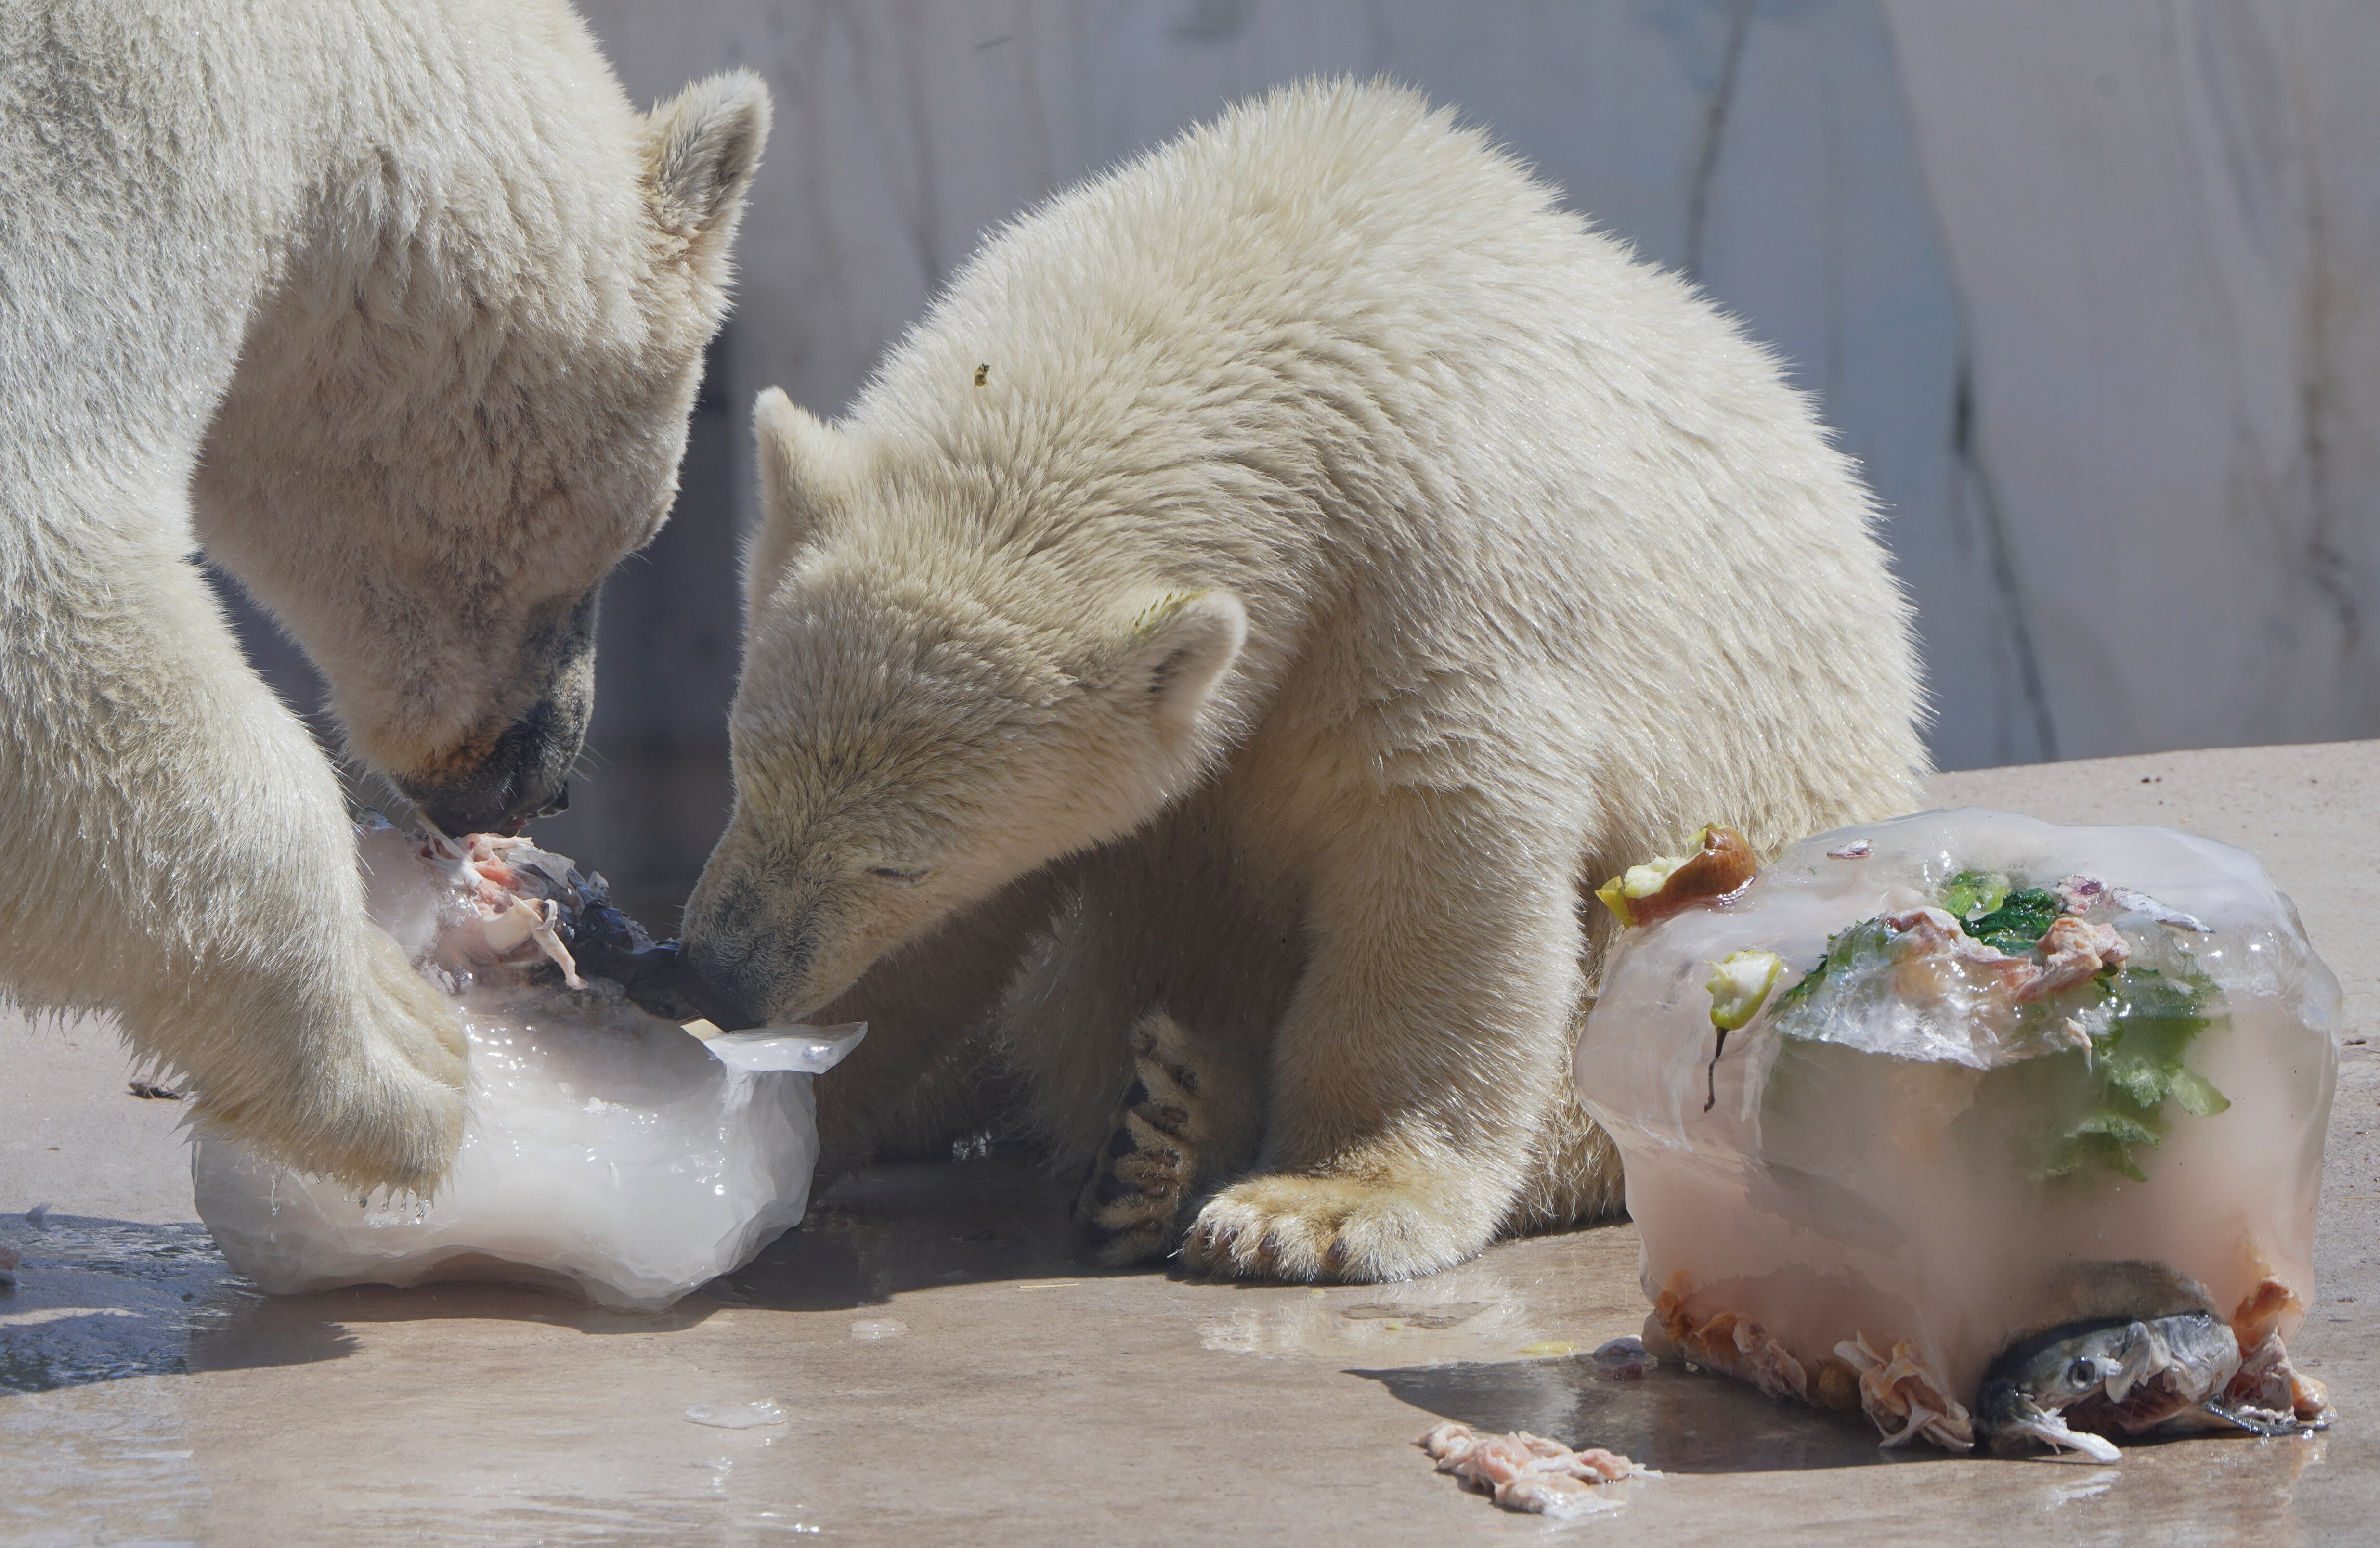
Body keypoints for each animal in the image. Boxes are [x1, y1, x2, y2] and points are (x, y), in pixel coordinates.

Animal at [0, 1, 767, 1194]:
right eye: (628, 541)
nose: (540, 784)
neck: (302, 53)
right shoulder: (95, 124)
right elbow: (46, 562)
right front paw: (398, 1044)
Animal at [682, 80, 1926, 1282]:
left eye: (900, 857)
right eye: (746, 767)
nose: (714, 973)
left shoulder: (1433, 579)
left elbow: (1436, 848)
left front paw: (1318, 1208)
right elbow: (975, 930)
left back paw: (1166, 1133)